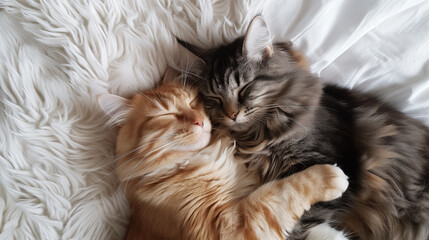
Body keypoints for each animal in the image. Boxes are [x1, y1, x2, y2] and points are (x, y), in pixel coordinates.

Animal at [98, 70, 348, 239]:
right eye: (166, 115)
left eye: (192, 102)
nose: (200, 121)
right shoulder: (225, 228)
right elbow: (280, 193)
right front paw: (327, 177)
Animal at [176, 16, 426, 240]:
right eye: (215, 98)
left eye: (244, 89)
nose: (231, 115)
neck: (258, 133)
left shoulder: (341, 163)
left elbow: (303, 219)